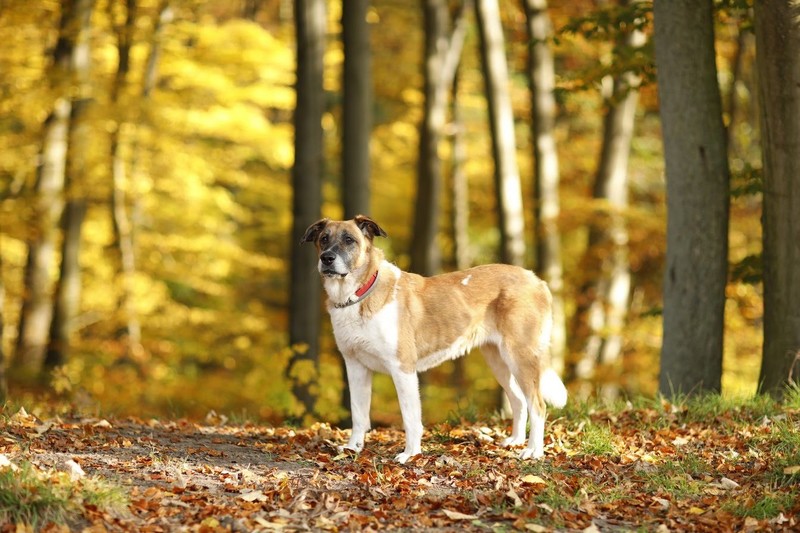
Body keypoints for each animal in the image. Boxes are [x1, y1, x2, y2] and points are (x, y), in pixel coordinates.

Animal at [302, 215, 568, 462]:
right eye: (323, 238)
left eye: (349, 240)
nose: (326, 258)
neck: (359, 294)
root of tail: (537, 280)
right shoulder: (355, 366)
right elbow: (358, 413)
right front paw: (353, 448)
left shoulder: (403, 369)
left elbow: (410, 418)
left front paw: (410, 454)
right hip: (499, 361)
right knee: (519, 401)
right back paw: (515, 441)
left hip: (521, 357)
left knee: (537, 405)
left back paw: (533, 451)